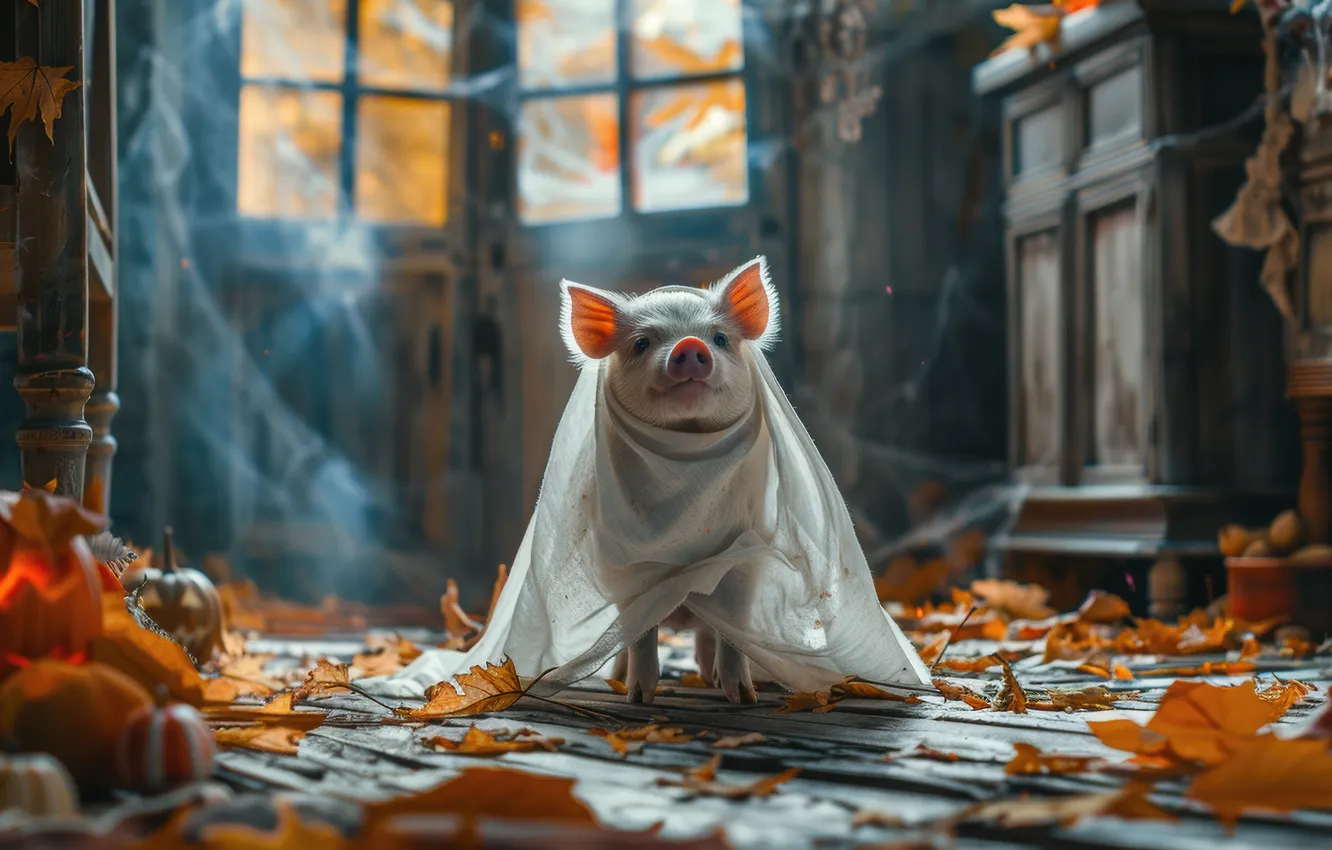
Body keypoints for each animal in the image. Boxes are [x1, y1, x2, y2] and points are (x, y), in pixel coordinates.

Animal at [559, 257, 779, 705]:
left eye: (720, 338)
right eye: (642, 343)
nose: (690, 345)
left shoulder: (745, 556)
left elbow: (734, 635)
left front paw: (744, 700)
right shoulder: (630, 568)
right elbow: (642, 634)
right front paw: (640, 699)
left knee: (708, 636)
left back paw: (712, 681)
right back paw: (619, 682)